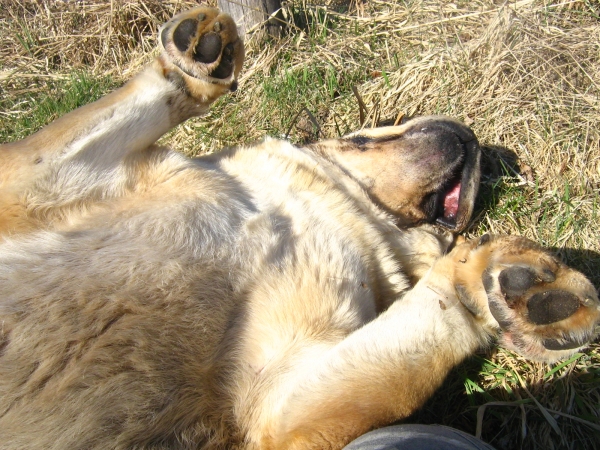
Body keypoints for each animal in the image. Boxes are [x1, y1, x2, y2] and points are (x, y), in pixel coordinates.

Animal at [1, 7, 600, 450]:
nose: (474, 137)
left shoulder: (279, 406)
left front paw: (516, 288)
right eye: (367, 132)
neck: (337, 208)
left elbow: (422, 338)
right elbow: (139, 102)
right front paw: (197, 53)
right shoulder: (32, 179)